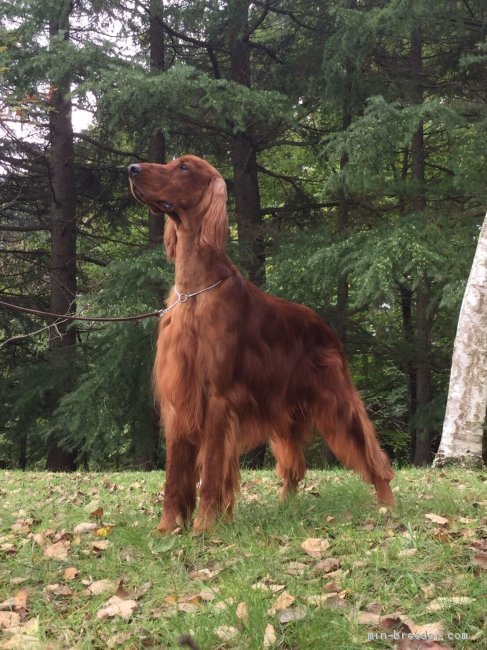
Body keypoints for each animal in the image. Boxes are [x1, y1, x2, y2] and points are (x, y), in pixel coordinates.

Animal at [127, 154, 394, 528]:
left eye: (184, 167)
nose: (131, 169)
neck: (195, 291)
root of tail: (322, 324)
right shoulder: (179, 397)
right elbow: (174, 476)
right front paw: (168, 528)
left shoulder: (217, 398)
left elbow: (211, 472)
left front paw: (204, 527)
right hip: (284, 410)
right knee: (294, 468)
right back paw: (285, 506)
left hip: (337, 400)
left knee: (371, 453)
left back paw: (388, 505)